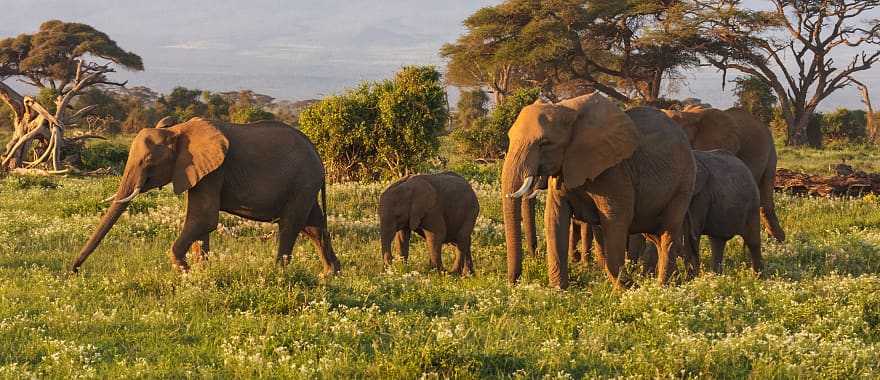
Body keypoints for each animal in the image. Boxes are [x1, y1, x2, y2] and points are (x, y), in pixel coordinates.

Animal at [70, 117, 340, 274]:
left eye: (148, 163)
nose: (73, 271)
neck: (177, 131)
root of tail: (319, 157)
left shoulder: (214, 171)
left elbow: (204, 218)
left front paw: (184, 269)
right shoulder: (198, 172)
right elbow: (202, 222)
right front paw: (201, 274)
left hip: (303, 181)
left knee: (291, 224)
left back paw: (279, 274)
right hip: (305, 185)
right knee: (313, 226)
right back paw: (330, 275)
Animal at [502, 93, 696, 290]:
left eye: (544, 143)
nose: (514, 282)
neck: (568, 110)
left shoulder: (614, 172)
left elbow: (616, 220)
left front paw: (625, 289)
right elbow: (555, 218)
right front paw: (559, 290)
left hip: (684, 183)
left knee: (668, 231)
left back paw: (663, 286)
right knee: (656, 235)